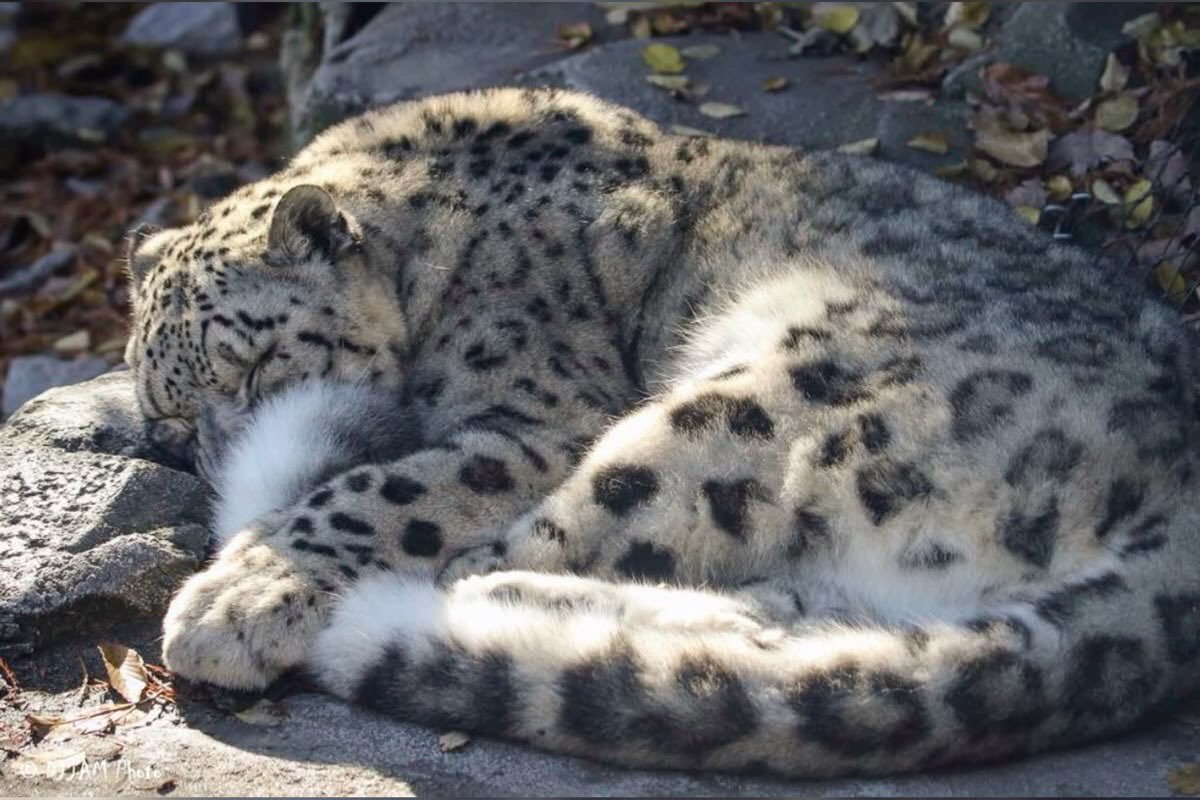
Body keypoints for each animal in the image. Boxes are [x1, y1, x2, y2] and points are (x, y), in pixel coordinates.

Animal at [124, 87, 1200, 778]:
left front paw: (234, 598)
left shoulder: (536, 415)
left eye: (259, 362)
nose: (208, 453)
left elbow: (383, 492)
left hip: (757, 403)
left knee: (500, 557)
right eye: (170, 422)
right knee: (787, 618)